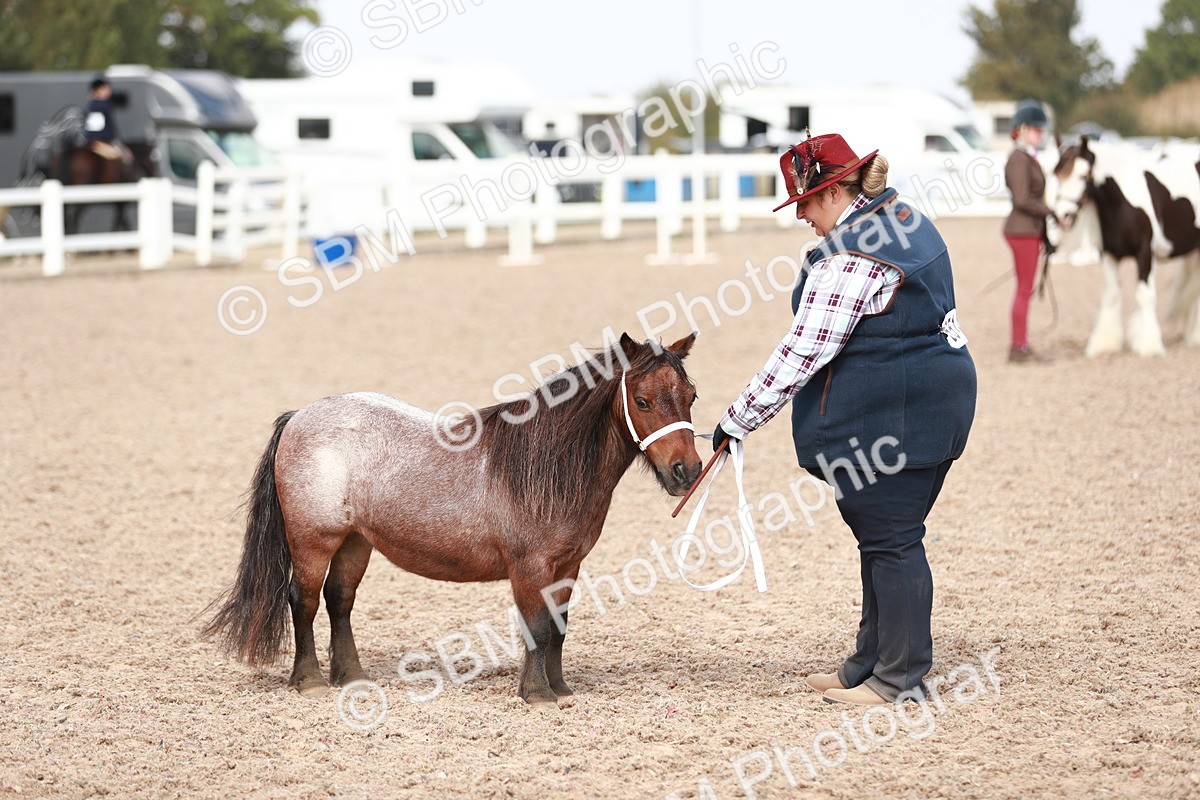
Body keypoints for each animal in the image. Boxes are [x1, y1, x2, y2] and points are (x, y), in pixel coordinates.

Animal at [201, 333, 703, 707]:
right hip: (313, 541)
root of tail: (299, 416)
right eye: (642, 400)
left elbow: (558, 629)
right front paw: (537, 694)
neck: (546, 465)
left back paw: (353, 676)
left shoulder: (568, 567)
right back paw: (309, 680)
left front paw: (559, 688)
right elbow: (537, 628)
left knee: (339, 600)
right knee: (302, 600)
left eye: (691, 396)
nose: (687, 470)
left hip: (355, 543)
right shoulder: (530, 568)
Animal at [1052, 136, 1200, 355]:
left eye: (1083, 175)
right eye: (1057, 174)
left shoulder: (1145, 253)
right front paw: (1105, 344)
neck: (1122, 203)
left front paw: (1148, 345)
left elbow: (1144, 295)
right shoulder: (1108, 254)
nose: (1062, 216)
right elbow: (1112, 294)